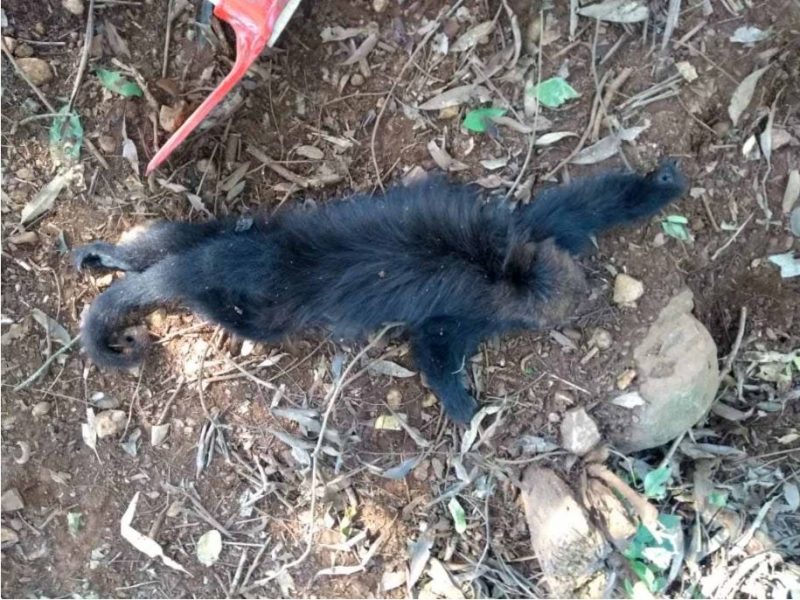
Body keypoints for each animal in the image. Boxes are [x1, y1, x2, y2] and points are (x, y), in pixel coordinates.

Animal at [73, 159, 687, 423]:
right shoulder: (483, 301)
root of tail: (278, 257)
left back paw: (121, 256)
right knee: (242, 314)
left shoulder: (533, 235)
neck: (507, 272)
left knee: (185, 237)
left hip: (250, 232)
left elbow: (591, 201)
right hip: (274, 298)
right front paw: (465, 408)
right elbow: (433, 346)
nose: (586, 297)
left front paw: (658, 183)